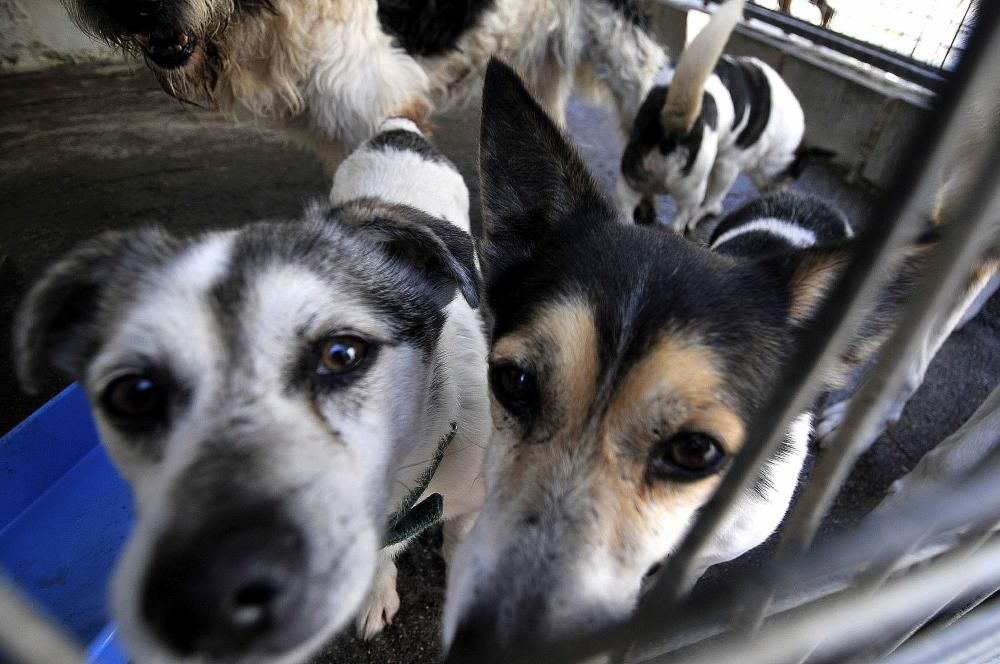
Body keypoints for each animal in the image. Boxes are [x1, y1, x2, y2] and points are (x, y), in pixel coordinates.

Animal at [11, 118, 488, 660]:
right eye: (134, 394)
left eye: (341, 354)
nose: (206, 600)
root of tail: (397, 127)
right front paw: (376, 594)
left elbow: (457, 541)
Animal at [612, 0, 808, 233]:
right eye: (794, 174)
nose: (784, 193)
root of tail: (675, 121)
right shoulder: (728, 164)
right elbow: (715, 194)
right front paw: (710, 209)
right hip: (691, 188)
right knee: (681, 216)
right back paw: (683, 224)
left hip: (631, 177)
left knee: (625, 208)